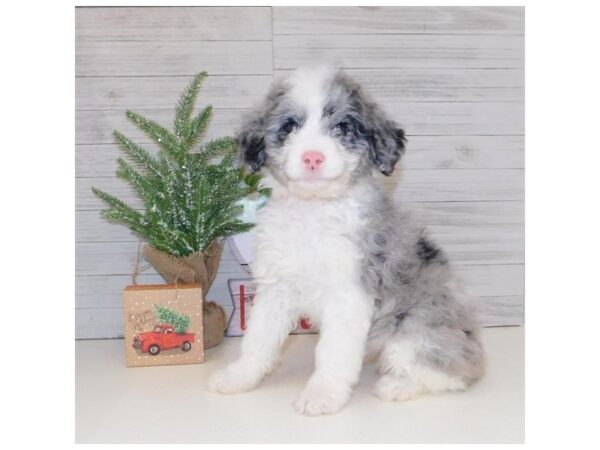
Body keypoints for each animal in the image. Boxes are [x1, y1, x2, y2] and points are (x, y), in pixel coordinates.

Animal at [209, 68, 486, 416]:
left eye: (342, 127)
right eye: (289, 126)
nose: (313, 158)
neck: (314, 211)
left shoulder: (348, 294)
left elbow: (332, 353)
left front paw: (322, 393)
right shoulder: (276, 287)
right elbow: (258, 339)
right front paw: (239, 377)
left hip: (415, 333)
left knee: (448, 373)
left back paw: (396, 385)